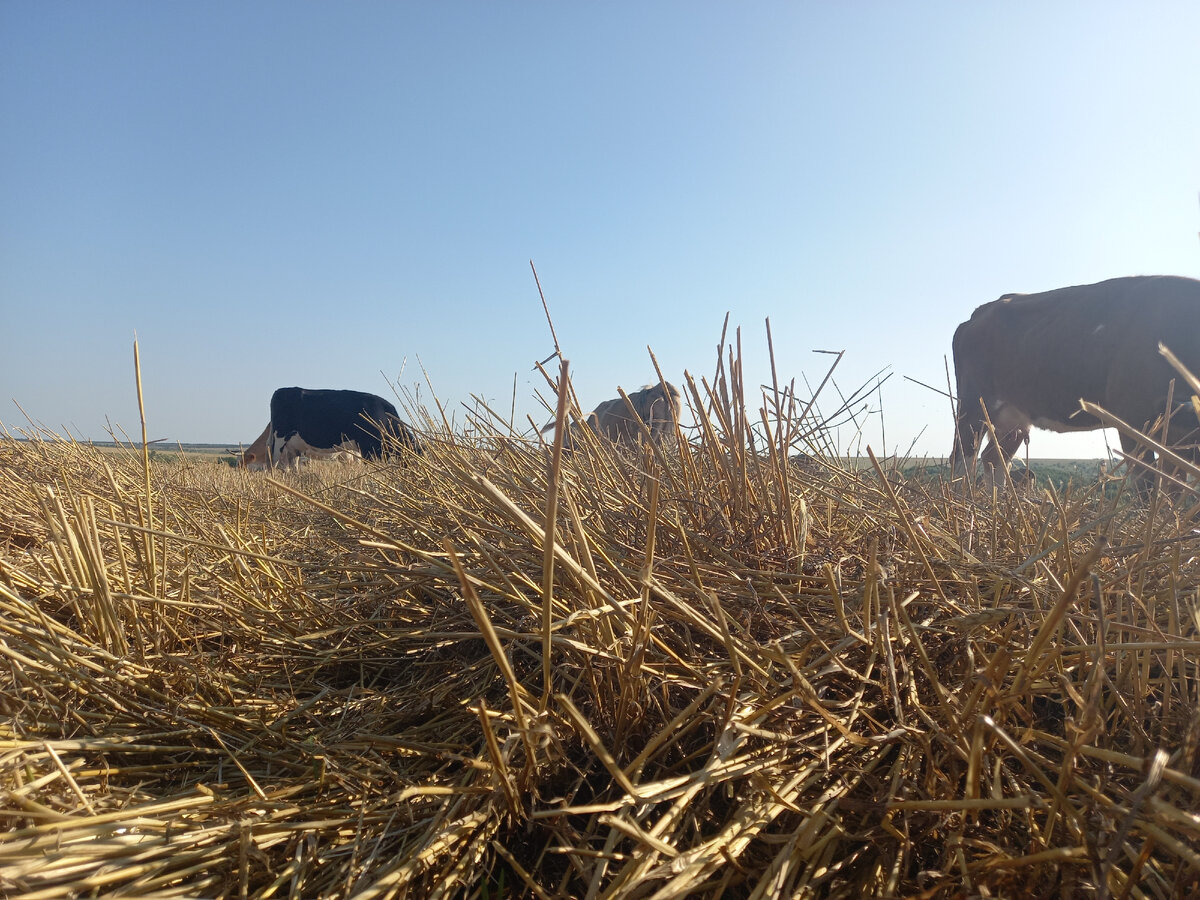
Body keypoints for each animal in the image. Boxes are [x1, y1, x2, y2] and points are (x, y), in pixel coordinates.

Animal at [270, 388, 424, 472]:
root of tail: (280, 390)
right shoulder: (369, 448)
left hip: (294, 446)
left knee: (293, 465)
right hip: (278, 439)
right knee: (273, 463)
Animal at [950, 278, 1200, 482]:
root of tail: (978, 313)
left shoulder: (1176, 436)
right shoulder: (1132, 416)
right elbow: (1145, 484)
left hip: (1013, 418)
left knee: (994, 458)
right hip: (972, 407)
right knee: (962, 460)